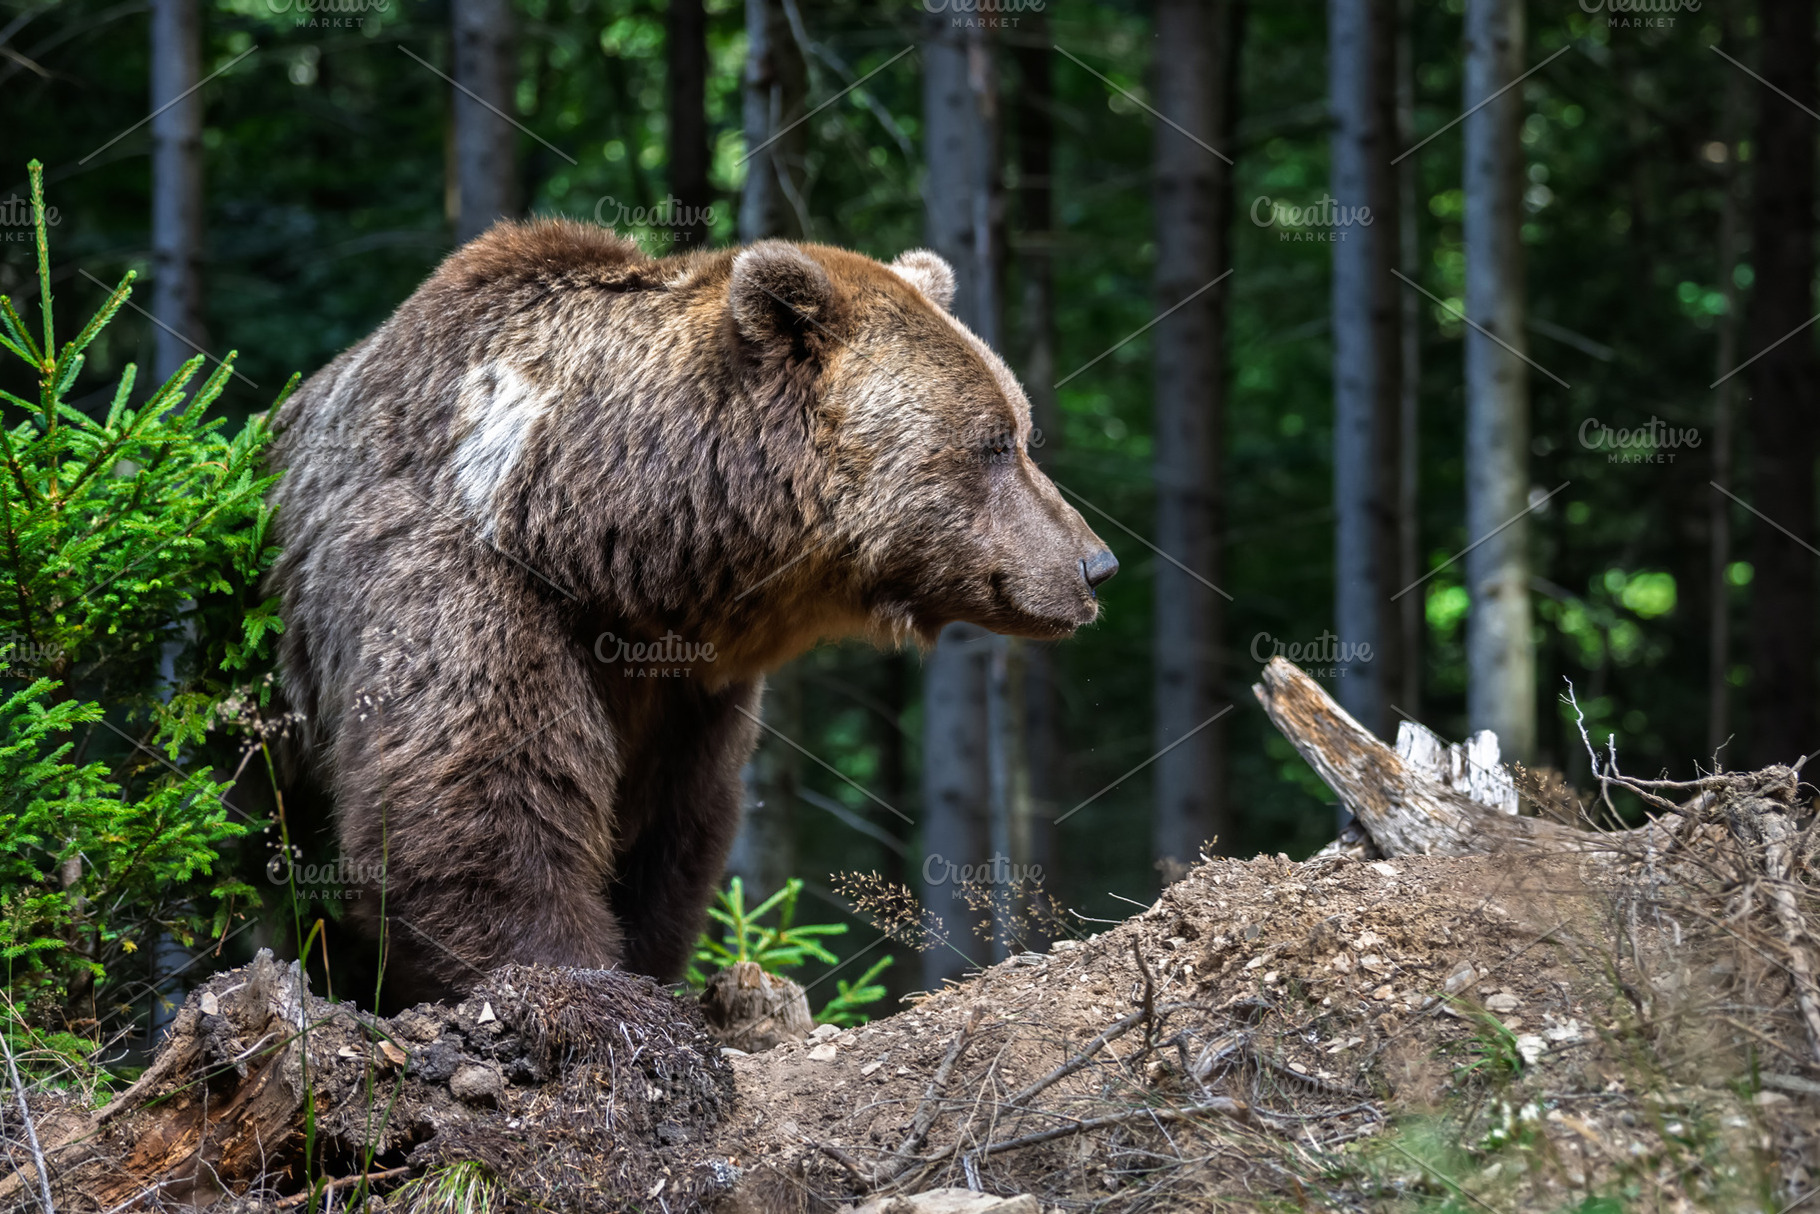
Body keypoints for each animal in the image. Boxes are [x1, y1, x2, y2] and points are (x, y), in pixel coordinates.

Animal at [266, 220, 1118, 1000]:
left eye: (1021, 430)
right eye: (994, 441)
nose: (1096, 564)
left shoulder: (691, 692)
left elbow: (672, 835)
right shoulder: (462, 581)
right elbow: (474, 802)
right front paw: (583, 985)